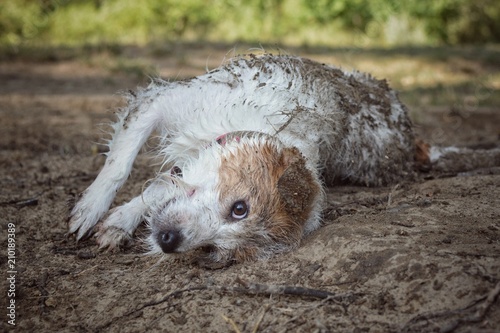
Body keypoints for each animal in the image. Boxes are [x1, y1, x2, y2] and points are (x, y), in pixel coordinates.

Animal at [68, 53, 498, 264]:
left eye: (215, 250)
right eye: (239, 207)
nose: (170, 242)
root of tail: (412, 145)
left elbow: (158, 191)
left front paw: (119, 222)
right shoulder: (159, 102)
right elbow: (120, 165)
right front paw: (92, 209)